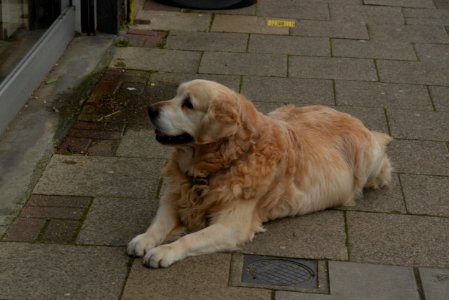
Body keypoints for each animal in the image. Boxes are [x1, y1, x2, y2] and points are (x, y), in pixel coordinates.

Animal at [127, 79, 392, 268]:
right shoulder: (175, 195)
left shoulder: (233, 225)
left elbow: (190, 238)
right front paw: (144, 239)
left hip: (370, 157)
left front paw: (164, 251)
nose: (150, 109)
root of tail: (352, 118)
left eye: (188, 104)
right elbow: (159, 222)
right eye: (175, 95)